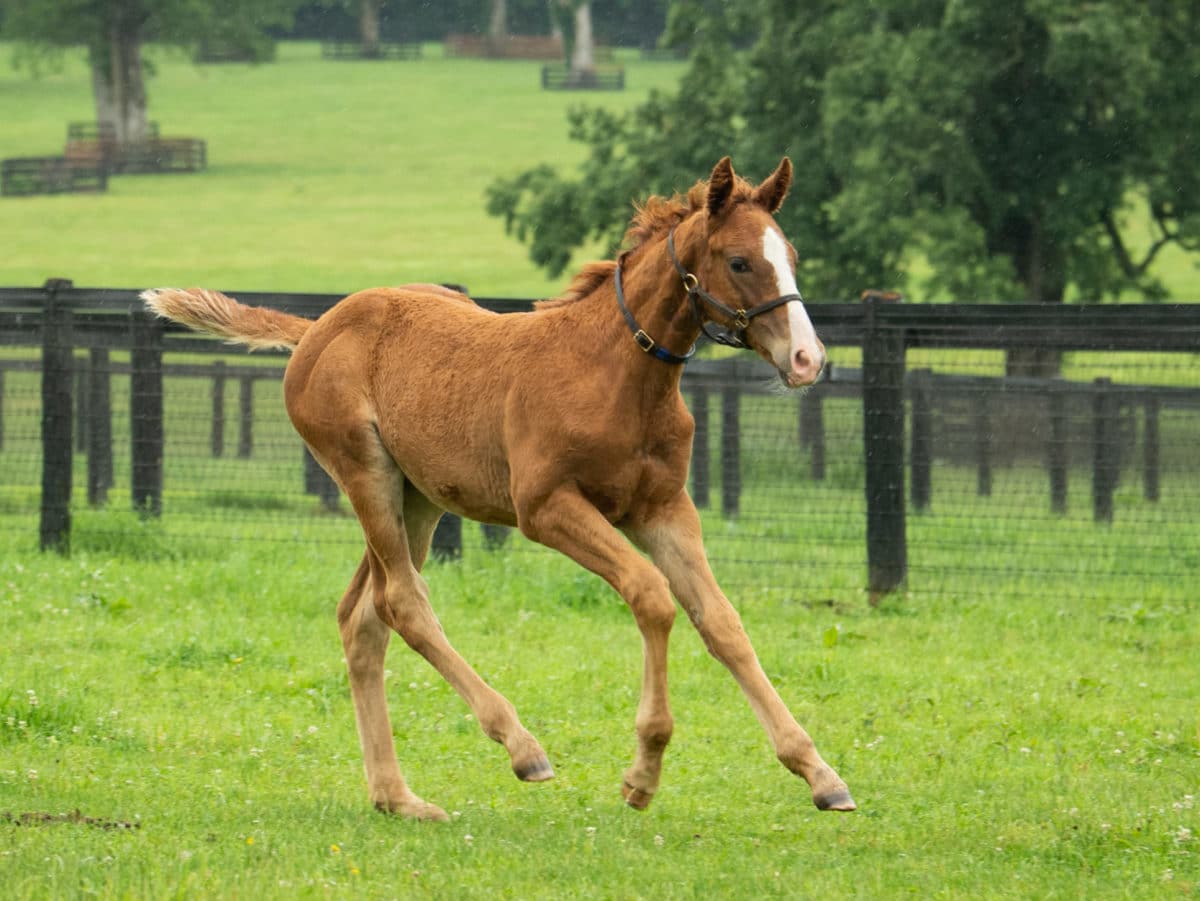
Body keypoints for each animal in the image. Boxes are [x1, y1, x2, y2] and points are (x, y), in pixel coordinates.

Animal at [142, 158, 854, 820]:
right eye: (739, 261)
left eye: (790, 257)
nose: (808, 360)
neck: (616, 375)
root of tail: (317, 327)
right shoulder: (546, 508)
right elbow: (651, 595)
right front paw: (643, 772)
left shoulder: (664, 510)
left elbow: (723, 622)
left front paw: (820, 774)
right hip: (366, 474)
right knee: (402, 602)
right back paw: (521, 747)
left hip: (418, 498)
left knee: (363, 616)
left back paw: (398, 798)